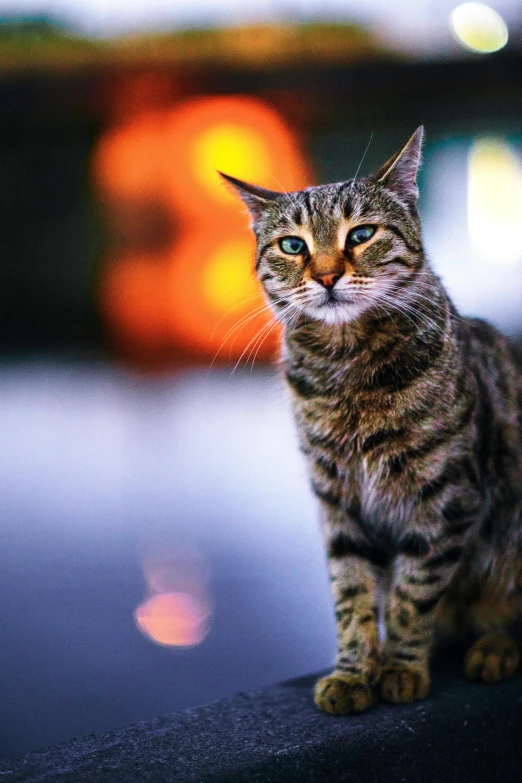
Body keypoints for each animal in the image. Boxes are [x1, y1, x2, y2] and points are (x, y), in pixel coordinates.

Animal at [219, 129, 520, 716]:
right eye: (292, 246)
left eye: (361, 234)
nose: (327, 275)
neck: (347, 371)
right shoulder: (338, 500)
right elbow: (352, 591)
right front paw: (354, 671)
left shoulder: (445, 499)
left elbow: (411, 593)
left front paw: (401, 667)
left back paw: (496, 647)